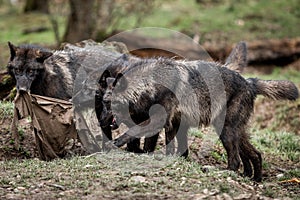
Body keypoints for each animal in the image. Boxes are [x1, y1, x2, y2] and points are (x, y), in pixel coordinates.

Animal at [100, 46, 298, 182]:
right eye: (103, 102)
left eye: (110, 103)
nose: (102, 121)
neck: (151, 84)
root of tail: (249, 82)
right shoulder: (174, 124)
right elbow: (173, 147)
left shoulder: (159, 120)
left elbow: (132, 132)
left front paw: (115, 143)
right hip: (235, 133)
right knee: (255, 154)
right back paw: (254, 179)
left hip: (225, 132)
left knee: (235, 161)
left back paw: (223, 171)